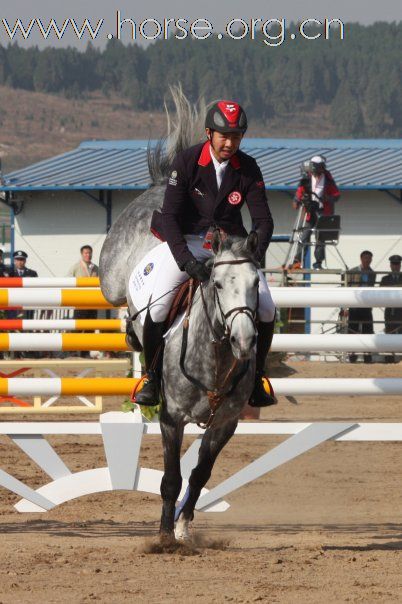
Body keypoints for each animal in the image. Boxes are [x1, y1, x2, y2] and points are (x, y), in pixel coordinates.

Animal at [99, 88, 260, 536]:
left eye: (256, 284)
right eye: (217, 285)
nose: (245, 340)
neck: (215, 360)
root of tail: (159, 185)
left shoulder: (225, 424)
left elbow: (200, 474)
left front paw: (185, 527)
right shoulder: (171, 419)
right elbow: (171, 478)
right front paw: (164, 535)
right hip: (114, 277)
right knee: (130, 313)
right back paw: (130, 330)